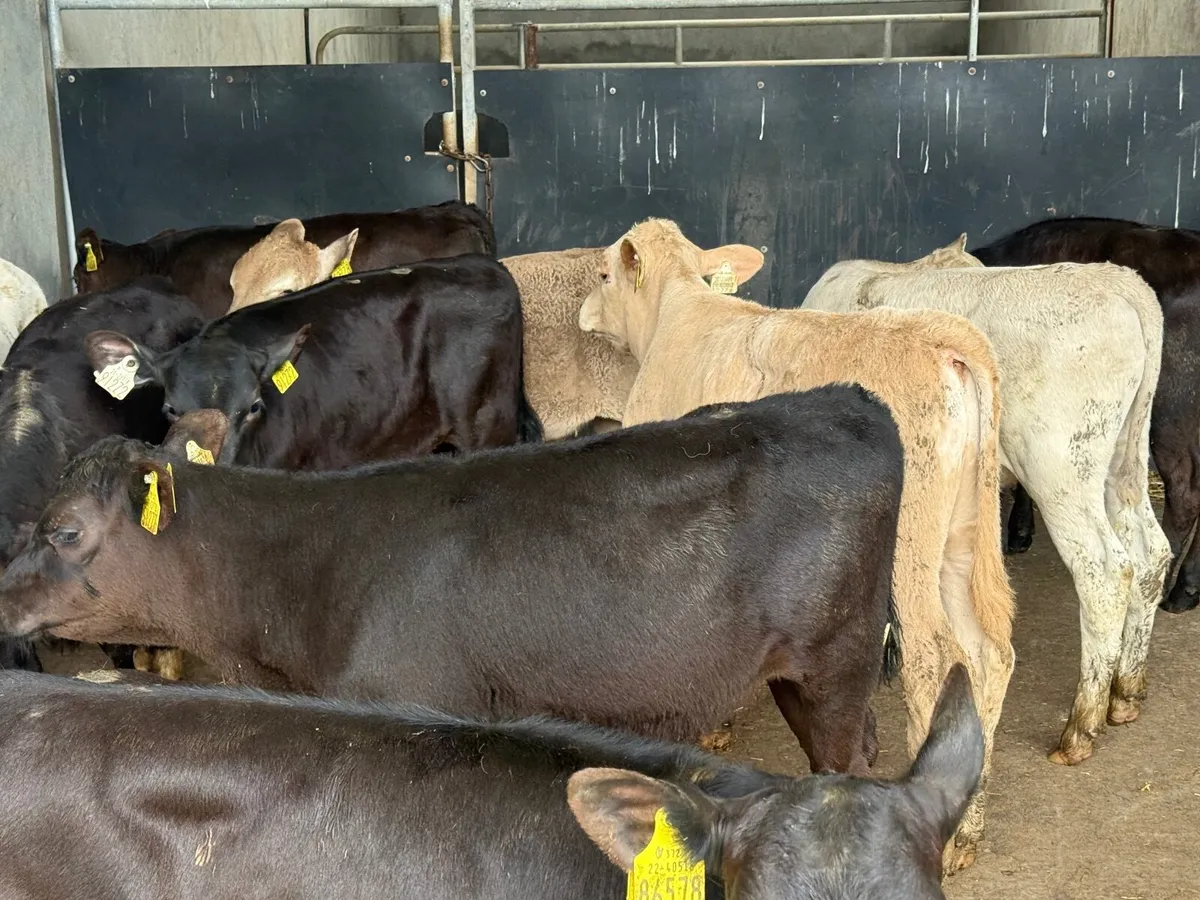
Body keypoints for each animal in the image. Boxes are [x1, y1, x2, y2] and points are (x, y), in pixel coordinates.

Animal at [576, 218, 1013, 874]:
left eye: (604, 273)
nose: (581, 315)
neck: (677, 315)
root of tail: (939, 335)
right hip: (962, 535)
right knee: (989, 653)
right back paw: (972, 823)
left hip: (913, 548)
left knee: (935, 657)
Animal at [804, 235, 1172, 771]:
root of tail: (1120, 282)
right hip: (1124, 454)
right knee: (1150, 552)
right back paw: (1125, 694)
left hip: (1060, 463)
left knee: (1105, 571)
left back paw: (1081, 727)